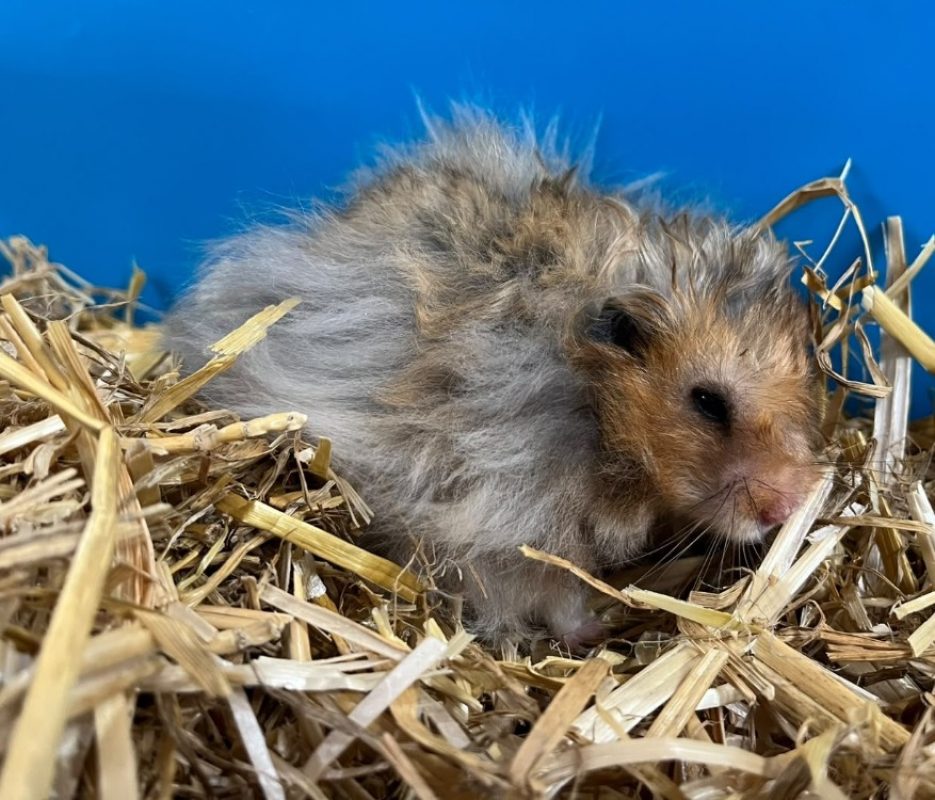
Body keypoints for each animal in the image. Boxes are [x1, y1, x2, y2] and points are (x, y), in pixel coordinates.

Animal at [164, 107, 824, 647]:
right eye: (708, 402)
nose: (789, 505)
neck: (595, 410)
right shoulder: (510, 519)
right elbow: (552, 590)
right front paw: (594, 625)